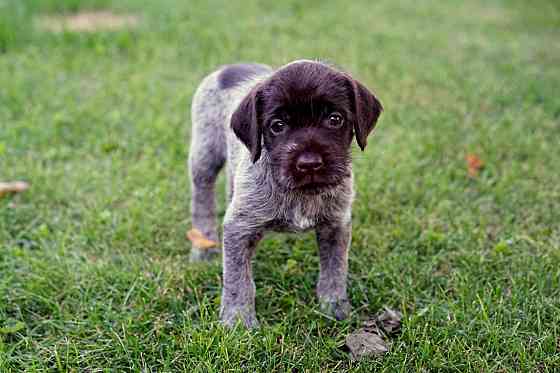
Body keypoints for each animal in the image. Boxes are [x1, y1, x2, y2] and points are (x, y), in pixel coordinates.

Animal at [187, 60, 380, 326]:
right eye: (277, 126)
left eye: (335, 119)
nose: (309, 164)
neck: (301, 194)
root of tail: (231, 67)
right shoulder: (240, 228)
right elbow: (238, 280)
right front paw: (238, 320)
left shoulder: (336, 225)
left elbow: (335, 269)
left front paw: (334, 306)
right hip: (205, 155)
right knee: (202, 196)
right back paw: (204, 246)